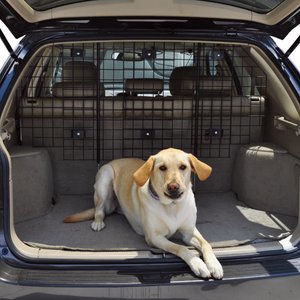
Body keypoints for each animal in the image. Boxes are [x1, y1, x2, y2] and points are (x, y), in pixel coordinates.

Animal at [63, 148, 223, 278]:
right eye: (162, 168)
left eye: (183, 167)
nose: (173, 187)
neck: (172, 206)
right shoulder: (154, 237)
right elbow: (179, 247)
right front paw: (197, 263)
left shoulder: (189, 232)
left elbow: (206, 243)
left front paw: (214, 264)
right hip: (105, 178)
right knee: (99, 209)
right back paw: (98, 221)